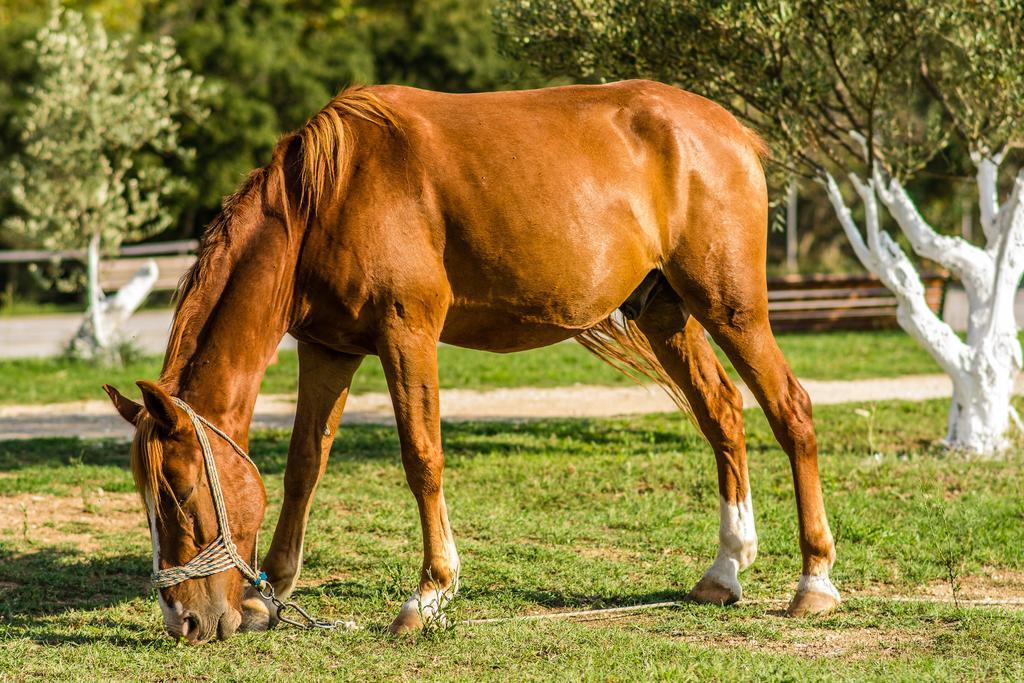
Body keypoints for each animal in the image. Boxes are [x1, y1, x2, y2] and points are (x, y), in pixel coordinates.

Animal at [103, 78, 839, 643]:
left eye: (179, 492)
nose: (184, 620)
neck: (330, 198)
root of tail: (730, 132)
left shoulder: (407, 335)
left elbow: (422, 457)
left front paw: (429, 593)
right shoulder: (329, 349)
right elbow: (304, 464)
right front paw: (270, 593)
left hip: (730, 307)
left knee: (790, 409)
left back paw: (814, 580)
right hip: (667, 313)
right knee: (723, 414)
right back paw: (725, 570)